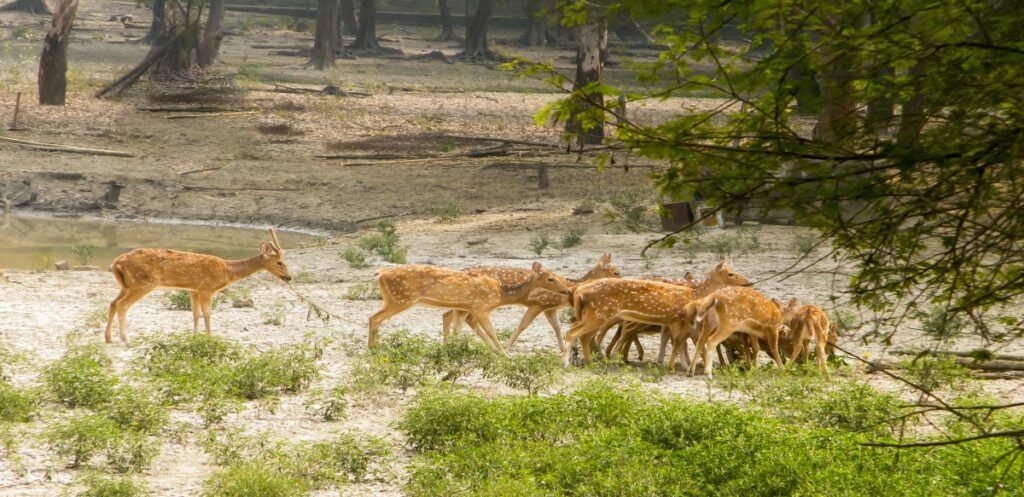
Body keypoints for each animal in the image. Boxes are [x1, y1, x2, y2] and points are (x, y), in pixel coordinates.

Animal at [104, 227, 292, 340]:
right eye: (279, 262)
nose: (289, 277)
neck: (228, 271)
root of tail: (116, 263)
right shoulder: (207, 288)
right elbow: (207, 314)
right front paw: (210, 337)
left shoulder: (193, 289)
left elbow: (195, 314)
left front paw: (194, 336)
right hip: (143, 283)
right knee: (122, 305)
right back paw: (125, 338)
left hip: (126, 285)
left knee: (112, 303)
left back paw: (108, 338)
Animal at [368, 261, 573, 350]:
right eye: (551, 278)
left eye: (560, 277)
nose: (567, 290)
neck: (501, 293)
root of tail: (380, 273)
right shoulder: (480, 307)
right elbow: (492, 332)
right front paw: (503, 354)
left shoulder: (464, 307)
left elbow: (458, 329)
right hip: (401, 298)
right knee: (374, 318)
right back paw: (372, 349)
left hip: (393, 298)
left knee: (375, 318)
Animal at [444, 252, 618, 352]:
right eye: (616, 271)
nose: (621, 279)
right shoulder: (539, 303)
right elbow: (523, 325)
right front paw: (507, 347)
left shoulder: (550, 308)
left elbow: (557, 327)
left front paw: (562, 350)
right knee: (460, 317)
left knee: (450, 315)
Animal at [561, 259, 753, 364]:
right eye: (731, 274)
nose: (749, 282)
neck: (696, 294)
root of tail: (578, 292)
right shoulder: (682, 320)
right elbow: (685, 342)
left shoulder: (672, 321)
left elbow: (677, 342)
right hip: (599, 314)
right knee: (574, 332)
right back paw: (570, 362)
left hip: (596, 315)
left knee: (583, 335)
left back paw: (591, 360)